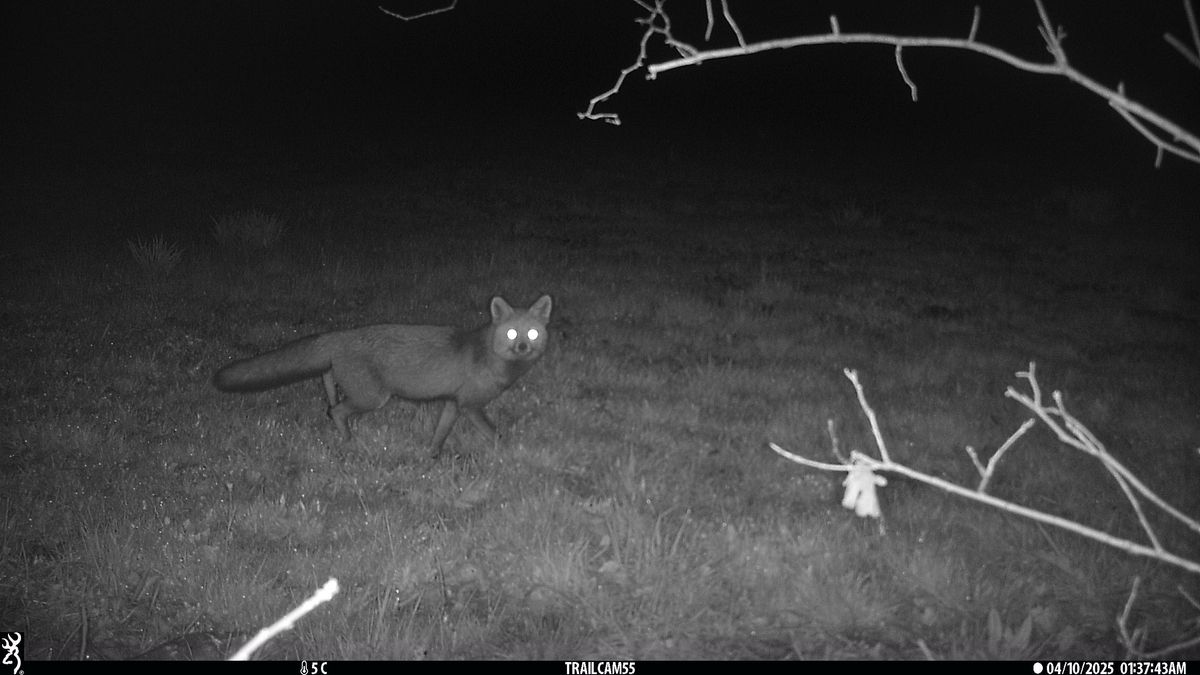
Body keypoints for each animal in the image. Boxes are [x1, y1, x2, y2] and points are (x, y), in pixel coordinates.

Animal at [213, 295, 552, 457]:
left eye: (533, 333)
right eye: (511, 333)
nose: (523, 347)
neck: (490, 356)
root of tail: (340, 335)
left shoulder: (453, 404)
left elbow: (439, 436)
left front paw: (431, 458)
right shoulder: (470, 405)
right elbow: (495, 435)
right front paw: (508, 454)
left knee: (331, 404)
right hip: (373, 398)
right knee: (335, 411)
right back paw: (348, 442)